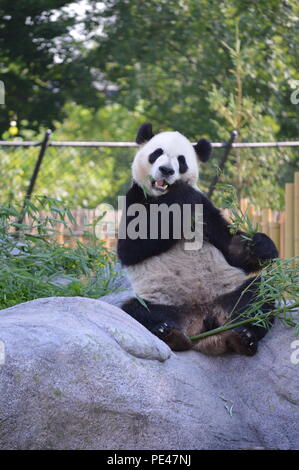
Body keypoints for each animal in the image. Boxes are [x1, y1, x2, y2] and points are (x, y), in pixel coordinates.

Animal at [118, 123, 278, 354]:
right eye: (157, 153)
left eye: (181, 160)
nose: (167, 170)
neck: (163, 196)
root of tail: (202, 318)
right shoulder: (136, 198)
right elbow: (131, 248)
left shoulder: (204, 207)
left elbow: (231, 248)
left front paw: (262, 246)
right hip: (163, 302)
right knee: (136, 311)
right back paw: (169, 333)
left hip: (228, 291)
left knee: (258, 297)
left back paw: (243, 337)